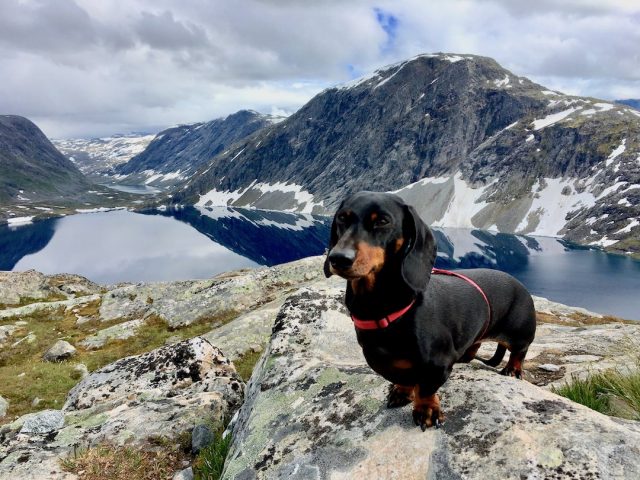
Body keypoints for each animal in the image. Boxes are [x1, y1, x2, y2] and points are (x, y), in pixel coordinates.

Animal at [322, 191, 536, 432]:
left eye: (383, 221)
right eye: (342, 218)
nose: (338, 258)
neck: (384, 309)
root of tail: (519, 284)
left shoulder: (438, 364)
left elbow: (425, 387)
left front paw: (426, 410)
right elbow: (404, 377)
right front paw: (402, 391)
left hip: (520, 333)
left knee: (519, 352)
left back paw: (512, 369)